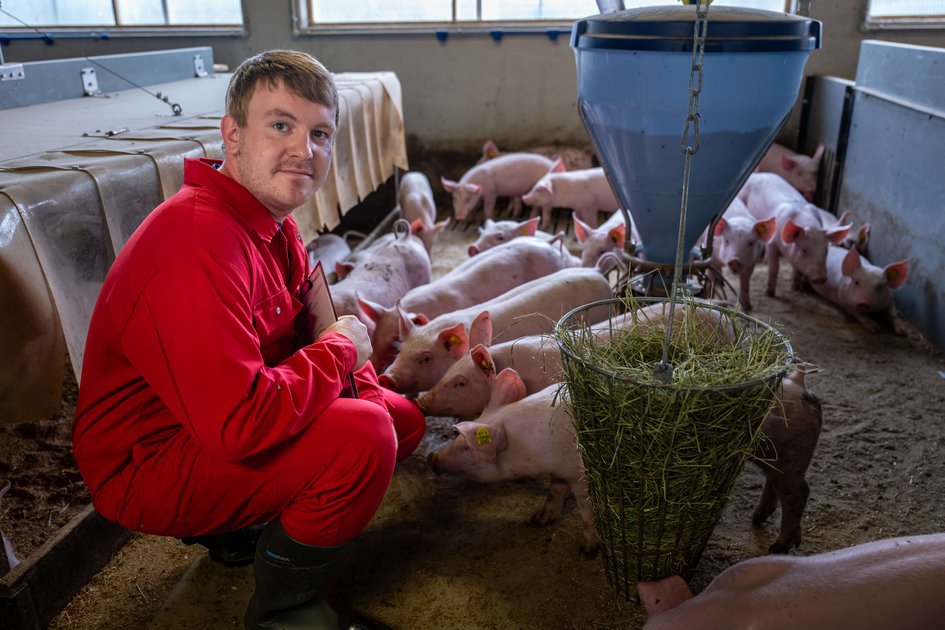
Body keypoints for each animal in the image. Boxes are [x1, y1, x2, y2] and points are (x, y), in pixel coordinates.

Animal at [428, 370, 596, 556]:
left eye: (467, 447)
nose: (432, 458)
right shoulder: (560, 470)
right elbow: (555, 491)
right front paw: (538, 520)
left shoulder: (580, 475)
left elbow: (588, 509)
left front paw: (587, 551)